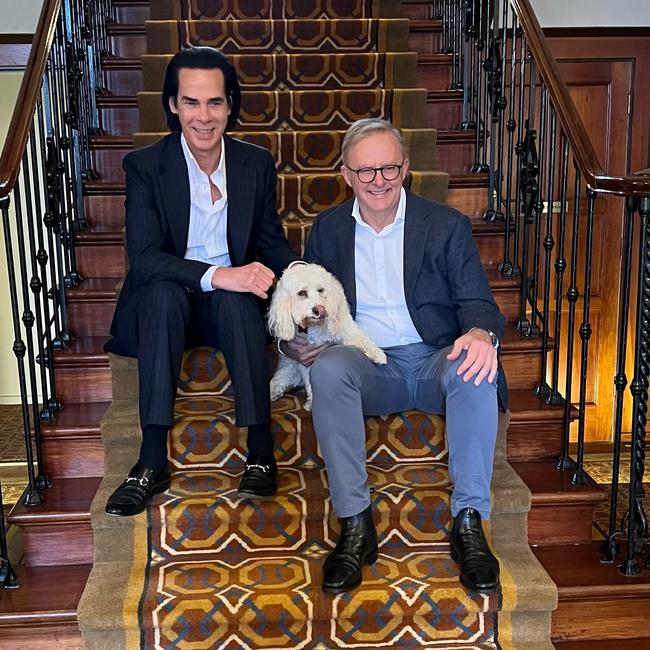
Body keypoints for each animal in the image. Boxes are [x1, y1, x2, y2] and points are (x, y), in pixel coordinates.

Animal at [268, 260, 384, 408]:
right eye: (302, 293)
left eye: (320, 290)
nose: (318, 309)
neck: (316, 326)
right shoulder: (306, 360)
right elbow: (310, 381)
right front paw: (312, 402)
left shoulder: (344, 327)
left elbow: (360, 338)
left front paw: (378, 354)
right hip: (290, 363)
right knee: (282, 376)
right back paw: (273, 390)